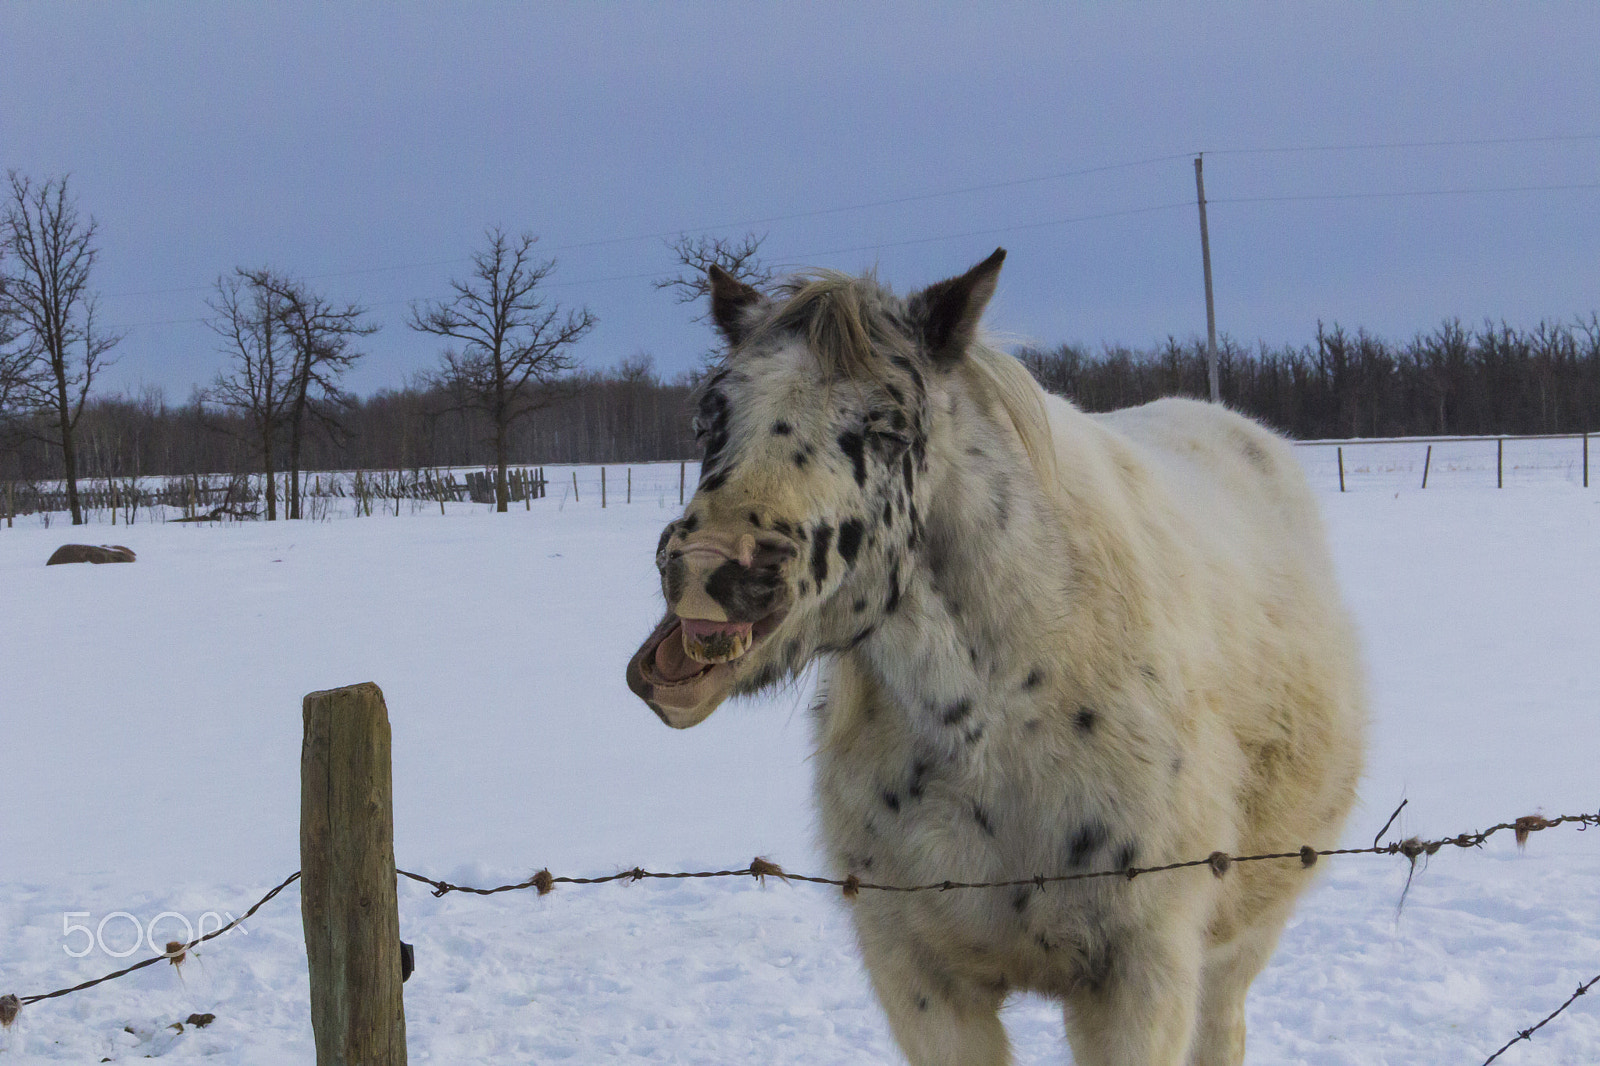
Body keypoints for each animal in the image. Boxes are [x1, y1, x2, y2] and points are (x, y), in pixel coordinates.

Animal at [624, 251, 1363, 1062]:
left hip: (1238, 946)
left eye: (888, 429)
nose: (708, 566)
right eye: (710, 416)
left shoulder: (1140, 977)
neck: (995, 728)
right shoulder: (920, 981)